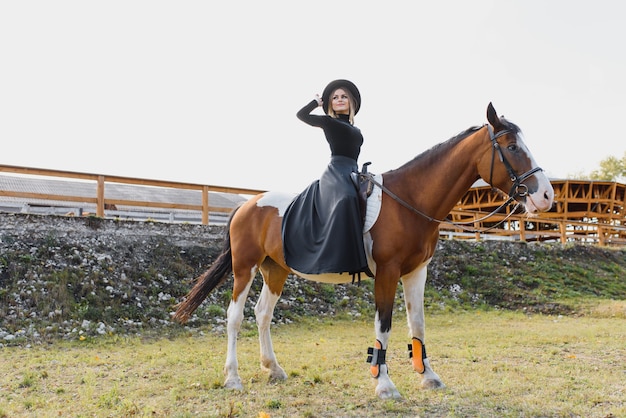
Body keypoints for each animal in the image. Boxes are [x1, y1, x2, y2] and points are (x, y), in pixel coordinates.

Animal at [172, 102, 552, 398]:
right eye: (512, 146)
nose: (546, 195)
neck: (409, 200)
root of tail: (248, 205)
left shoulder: (417, 272)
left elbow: (418, 323)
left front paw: (428, 376)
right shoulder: (387, 272)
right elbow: (383, 325)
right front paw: (384, 384)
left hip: (275, 270)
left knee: (263, 314)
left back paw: (274, 369)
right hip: (245, 267)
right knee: (235, 317)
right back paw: (233, 378)